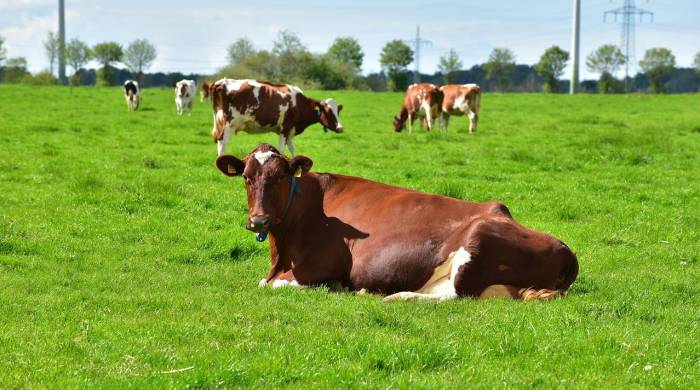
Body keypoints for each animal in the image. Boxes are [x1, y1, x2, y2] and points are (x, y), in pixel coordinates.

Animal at [208, 77, 344, 157]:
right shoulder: (285, 128)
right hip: (229, 125)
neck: (299, 104)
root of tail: (223, 81)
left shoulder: (290, 130)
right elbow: (282, 149)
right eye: (328, 112)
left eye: (338, 111)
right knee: (222, 142)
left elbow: (292, 148)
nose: (340, 128)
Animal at [217, 143, 580, 302]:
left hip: (476, 242)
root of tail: (567, 250)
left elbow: (274, 285)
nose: (258, 220)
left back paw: (393, 296)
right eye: (247, 177)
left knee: (455, 295)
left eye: (280, 176)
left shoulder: (322, 266)